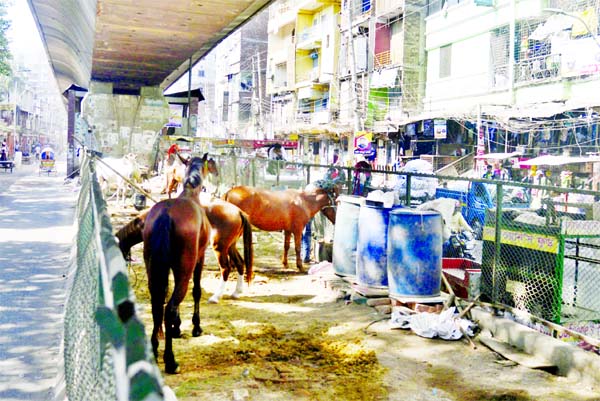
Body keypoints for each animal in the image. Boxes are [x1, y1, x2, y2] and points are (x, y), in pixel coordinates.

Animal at [115, 195, 253, 304]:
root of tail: (238, 211)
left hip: (219, 247)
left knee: (226, 268)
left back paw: (215, 297)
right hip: (230, 246)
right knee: (240, 263)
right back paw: (236, 292)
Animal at [143, 154, 211, 372]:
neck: (190, 195)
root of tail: (166, 214)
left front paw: (176, 327)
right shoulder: (199, 259)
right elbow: (196, 291)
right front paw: (195, 327)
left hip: (154, 269)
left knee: (157, 305)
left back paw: (154, 349)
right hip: (185, 269)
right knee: (170, 307)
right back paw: (170, 360)